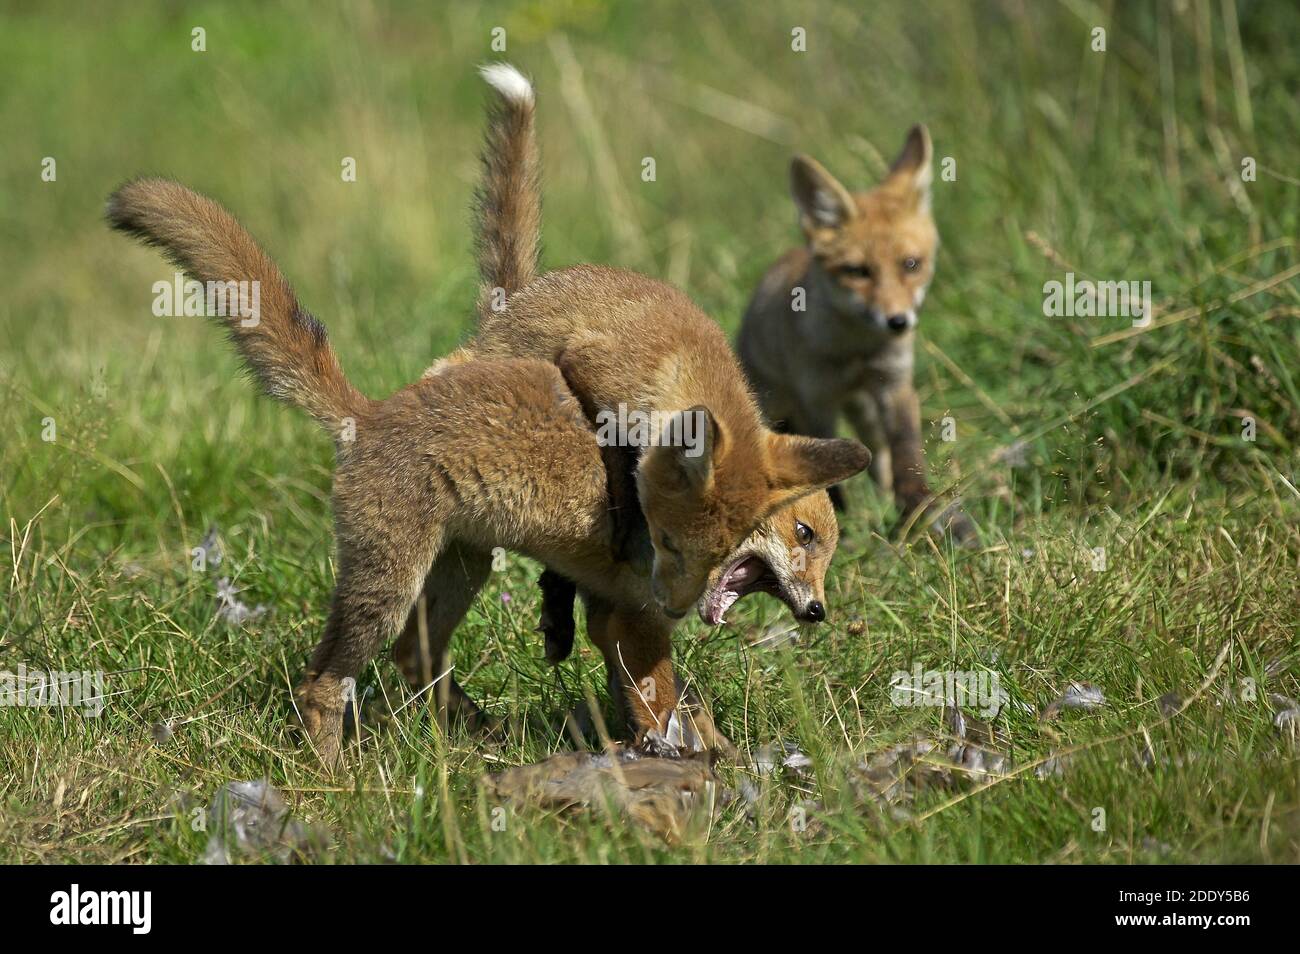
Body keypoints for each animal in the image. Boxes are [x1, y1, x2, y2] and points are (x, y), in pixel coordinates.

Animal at [737, 126, 976, 543]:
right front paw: (839, 526)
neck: (856, 352)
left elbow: (906, 455)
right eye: (858, 271)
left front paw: (920, 509)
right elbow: (827, 480)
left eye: (910, 264)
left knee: (880, 461)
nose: (897, 322)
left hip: (866, 415)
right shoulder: (816, 402)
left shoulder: (894, 385)